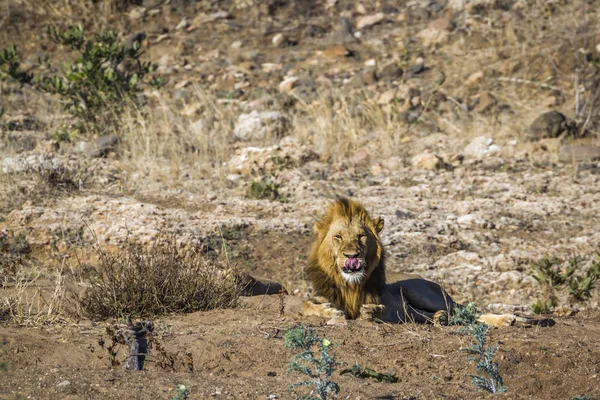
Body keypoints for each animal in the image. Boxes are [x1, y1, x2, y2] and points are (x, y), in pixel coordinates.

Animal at [302, 195, 532, 326]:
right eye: (338, 237)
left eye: (361, 236)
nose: (352, 256)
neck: (350, 284)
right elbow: (307, 304)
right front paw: (328, 310)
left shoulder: (392, 308)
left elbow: (379, 310)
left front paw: (371, 311)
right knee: (442, 314)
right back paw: (441, 318)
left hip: (424, 293)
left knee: (467, 309)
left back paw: (510, 319)